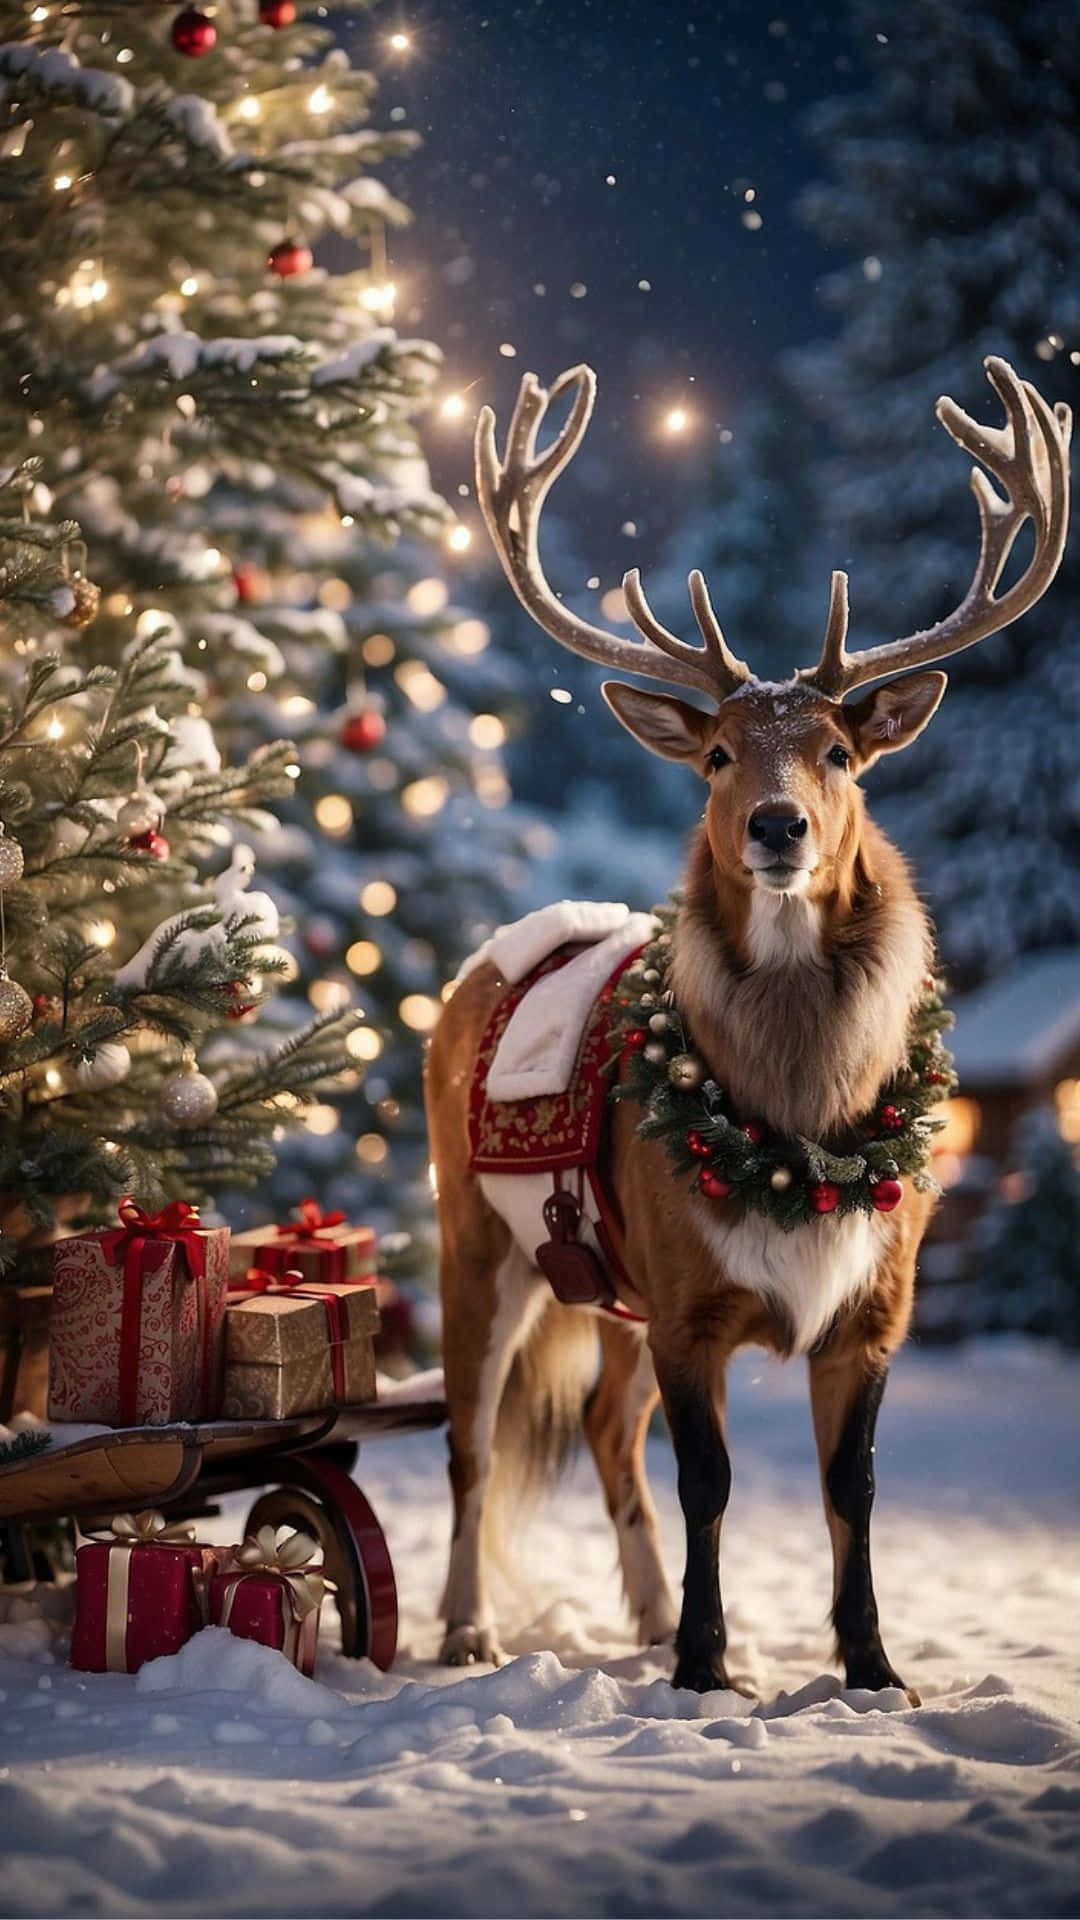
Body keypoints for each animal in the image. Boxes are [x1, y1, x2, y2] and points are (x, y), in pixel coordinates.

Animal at [424, 356, 1070, 1699]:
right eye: (718, 754)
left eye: (840, 753)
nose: (780, 826)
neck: (800, 1129)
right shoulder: (687, 1305)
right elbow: (711, 1482)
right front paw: (707, 1669)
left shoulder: (874, 1307)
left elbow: (851, 1488)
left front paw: (871, 1668)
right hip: (476, 1237)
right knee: (471, 1443)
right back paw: (469, 1627)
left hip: (601, 1287)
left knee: (605, 1434)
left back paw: (645, 1610)